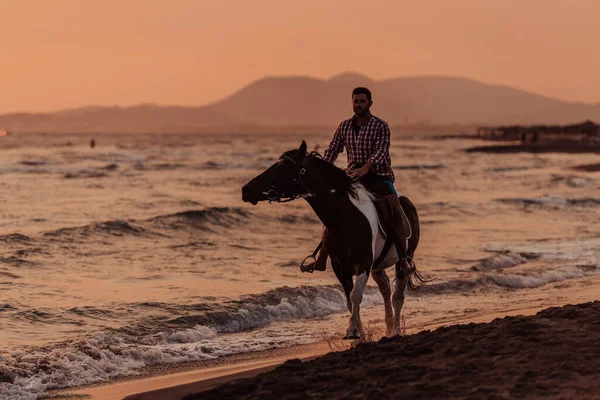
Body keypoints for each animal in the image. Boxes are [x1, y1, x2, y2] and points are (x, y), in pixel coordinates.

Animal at [241, 141, 424, 340]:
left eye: (281, 167)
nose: (246, 190)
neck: (344, 217)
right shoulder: (340, 267)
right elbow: (350, 300)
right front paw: (359, 336)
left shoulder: (362, 264)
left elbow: (355, 296)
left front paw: (352, 331)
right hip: (378, 265)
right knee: (385, 289)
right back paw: (389, 328)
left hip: (403, 258)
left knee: (398, 294)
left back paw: (396, 330)